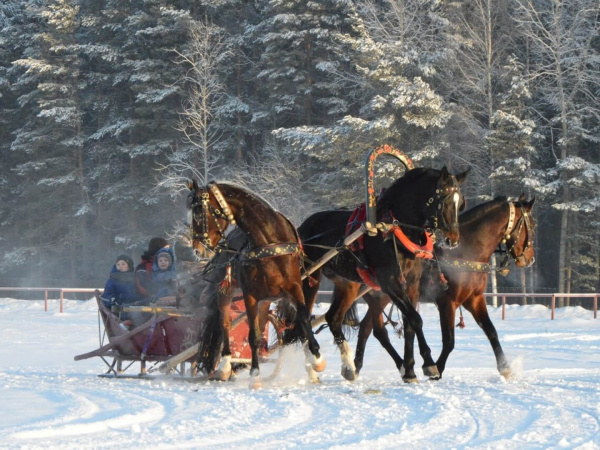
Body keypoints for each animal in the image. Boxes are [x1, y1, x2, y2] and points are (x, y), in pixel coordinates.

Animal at [189, 181, 326, 388]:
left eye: (198, 212)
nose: (197, 249)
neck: (269, 242)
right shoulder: (250, 295)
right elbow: (253, 335)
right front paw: (255, 375)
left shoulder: (294, 288)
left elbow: (302, 318)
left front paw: (316, 359)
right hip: (227, 291)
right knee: (225, 323)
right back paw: (225, 366)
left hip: (266, 300)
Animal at [298, 167, 472, 382]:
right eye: (444, 202)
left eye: (460, 202)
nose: (453, 240)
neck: (394, 230)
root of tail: (302, 228)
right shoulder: (391, 283)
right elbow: (416, 319)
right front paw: (429, 364)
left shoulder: (411, 284)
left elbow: (409, 324)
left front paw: (410, 369)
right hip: (310, 277)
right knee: (303, 317)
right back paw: (315, 361)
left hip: (347, 284)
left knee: (333, 318)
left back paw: (348, 365)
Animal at [350, 193, 536, 380]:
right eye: (533, 226)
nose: (530, 260)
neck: (464, 252)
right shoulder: (447, 302)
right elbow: (449, 341)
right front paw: (436, 368)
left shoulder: (474, 299)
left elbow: (491, 331)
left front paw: (505, 368)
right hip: (381, 297)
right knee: (375, 331)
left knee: (368, 329)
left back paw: (361, 366)